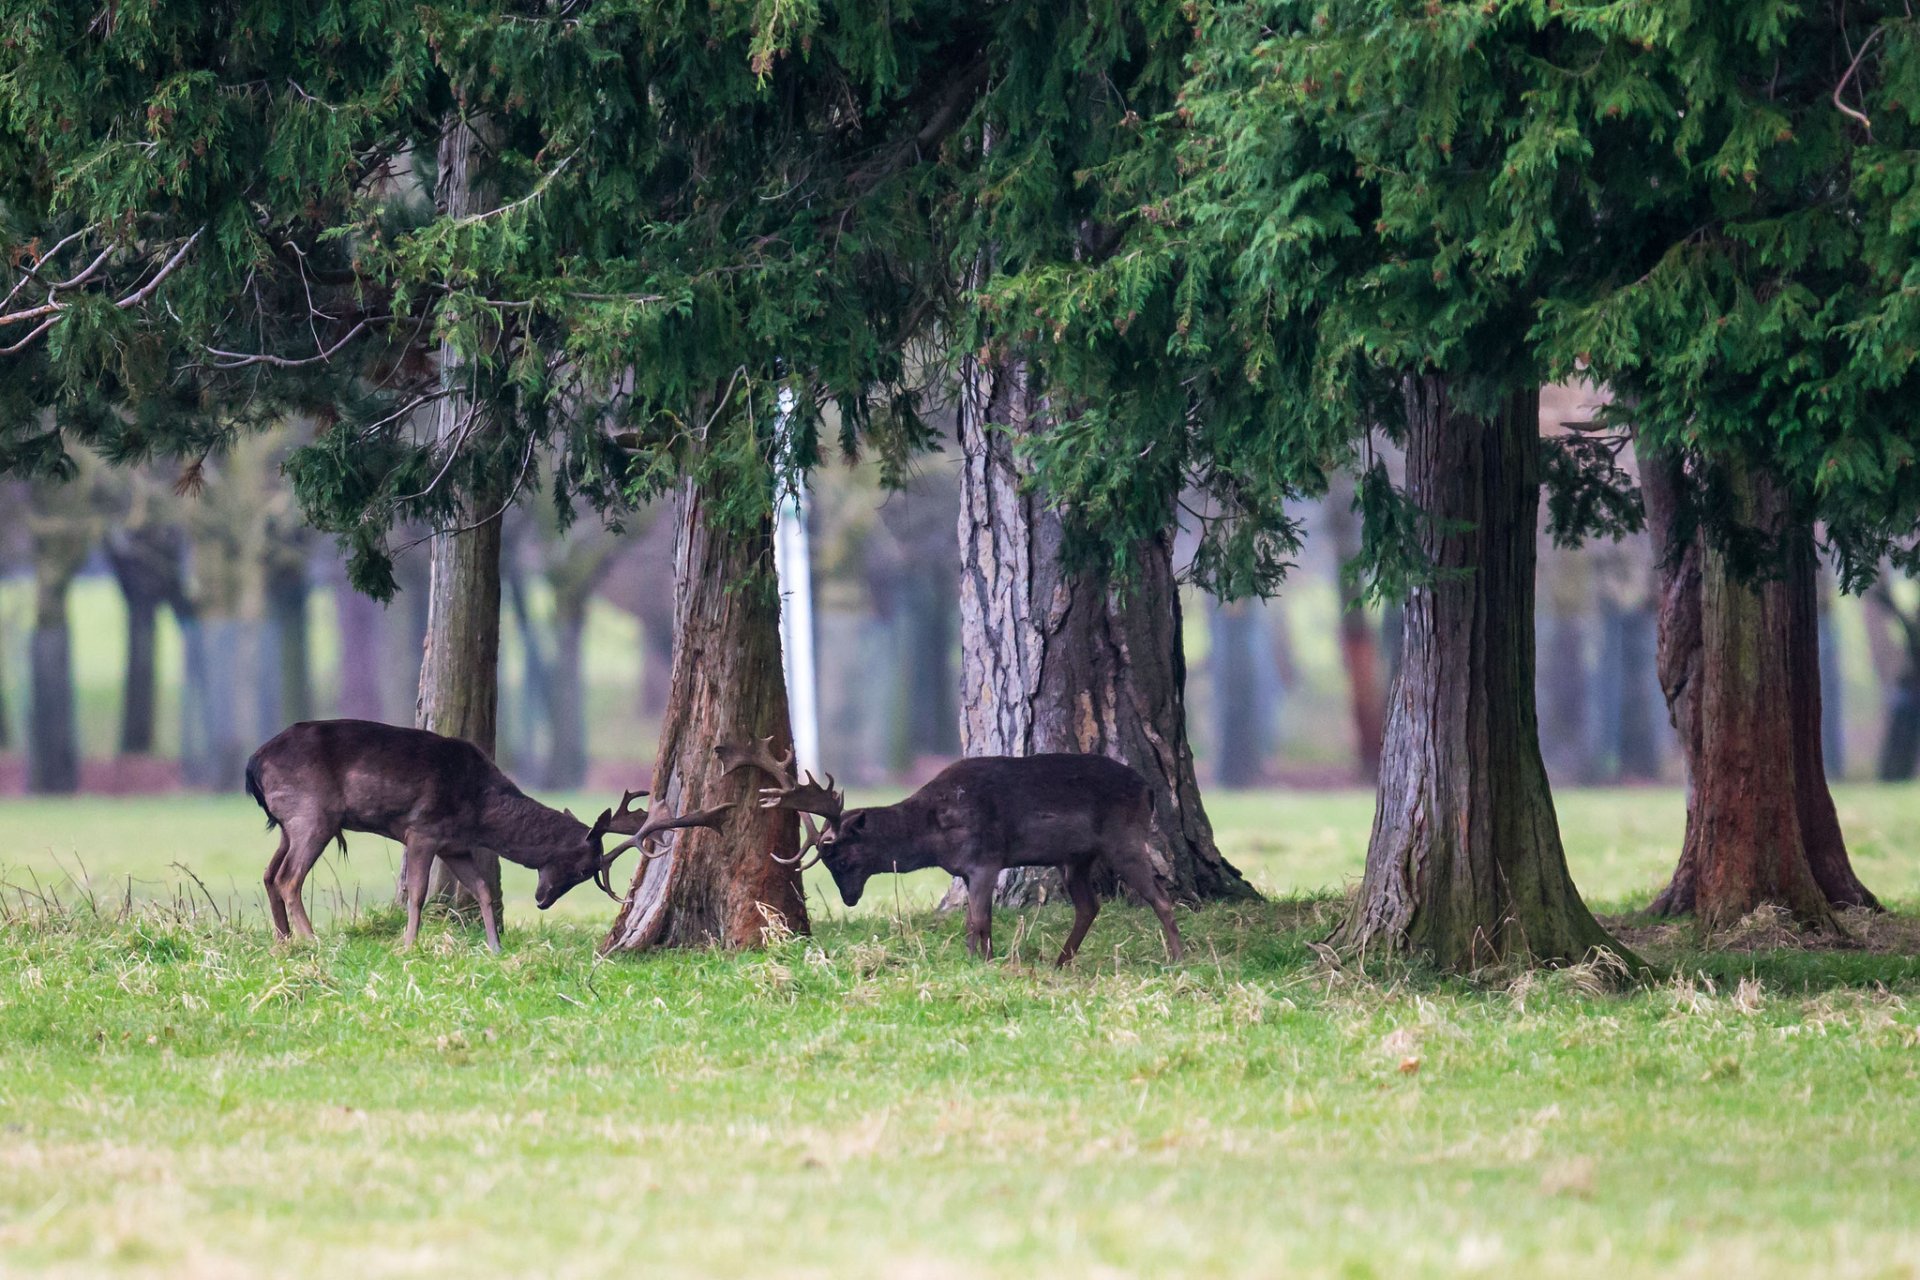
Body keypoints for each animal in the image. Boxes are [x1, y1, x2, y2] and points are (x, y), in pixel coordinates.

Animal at [245, 719, 728, 953]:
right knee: (288, 877)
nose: (542, 900)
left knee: (268, 874)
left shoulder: (455, 844)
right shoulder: (422, 829)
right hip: (312, 813)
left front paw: (495, 947)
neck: (479, 809)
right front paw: (408, 946)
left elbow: (480, 889)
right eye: (583, 868)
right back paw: (311, 940)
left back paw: (284, 942)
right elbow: (417, 893)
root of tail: (252, 763)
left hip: (290, 822)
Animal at [715, 739, 1183, 965]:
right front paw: (980, 961)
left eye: (843, 858)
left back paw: (1178, 959)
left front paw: (983, 963)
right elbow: (976, 921)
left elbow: (978, 919)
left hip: (1123, 839)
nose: (849, 898)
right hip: (1076, 857)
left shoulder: (985, 858)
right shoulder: (966, 868)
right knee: (1089, 905)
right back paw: (1061, 962)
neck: (933, 834)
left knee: (1161, 898)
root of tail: (1149, 789)